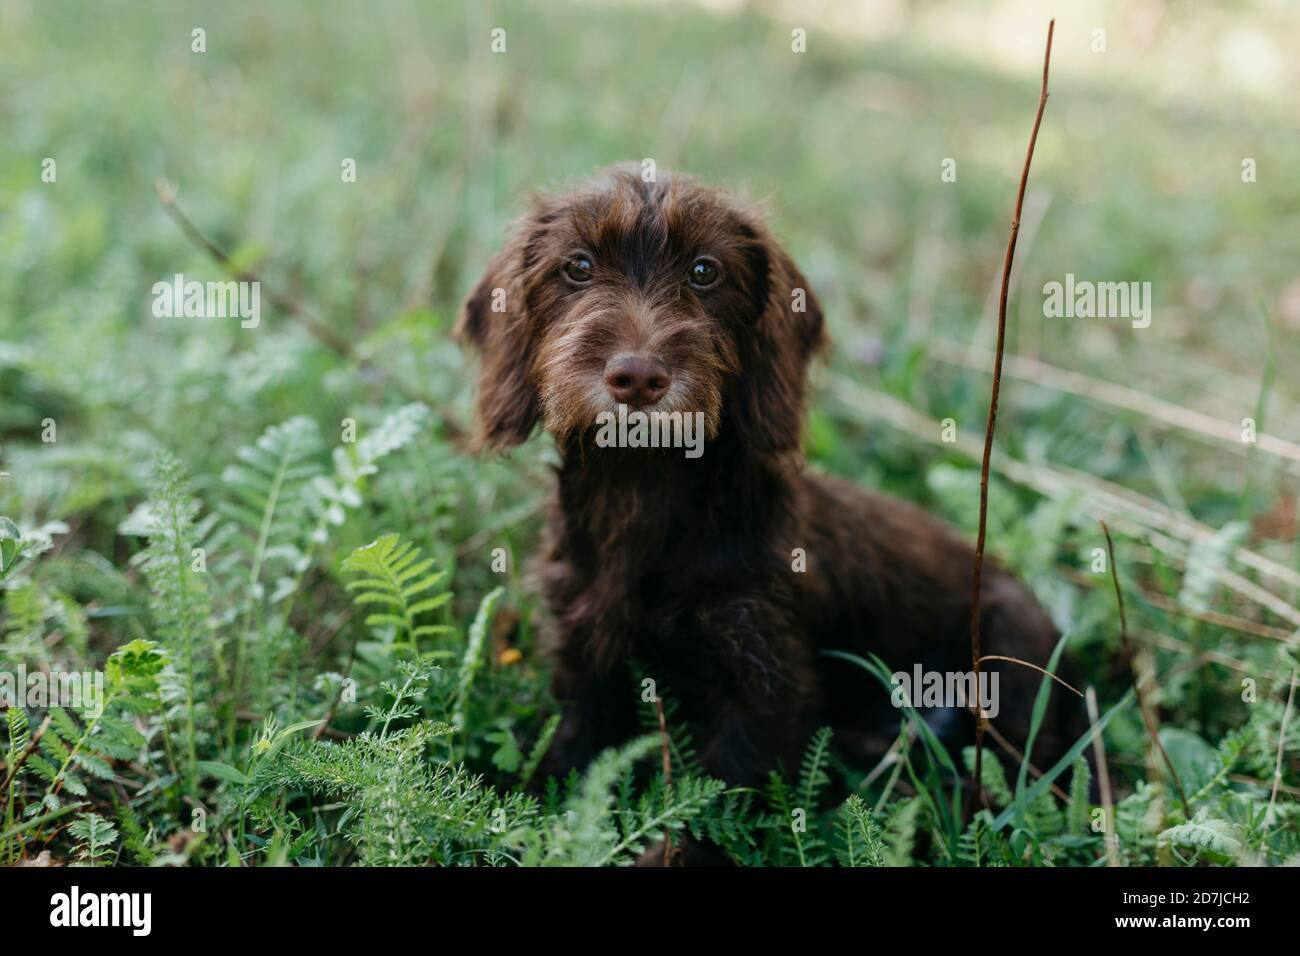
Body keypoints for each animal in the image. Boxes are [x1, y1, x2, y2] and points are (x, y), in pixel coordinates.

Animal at [457, 167, 1076, 796]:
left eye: (705, 271)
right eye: (577, 266)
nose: (638, 378)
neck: (643, 489)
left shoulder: (765, 677)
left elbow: (727, 791)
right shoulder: (583, 647)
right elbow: (574, 743)